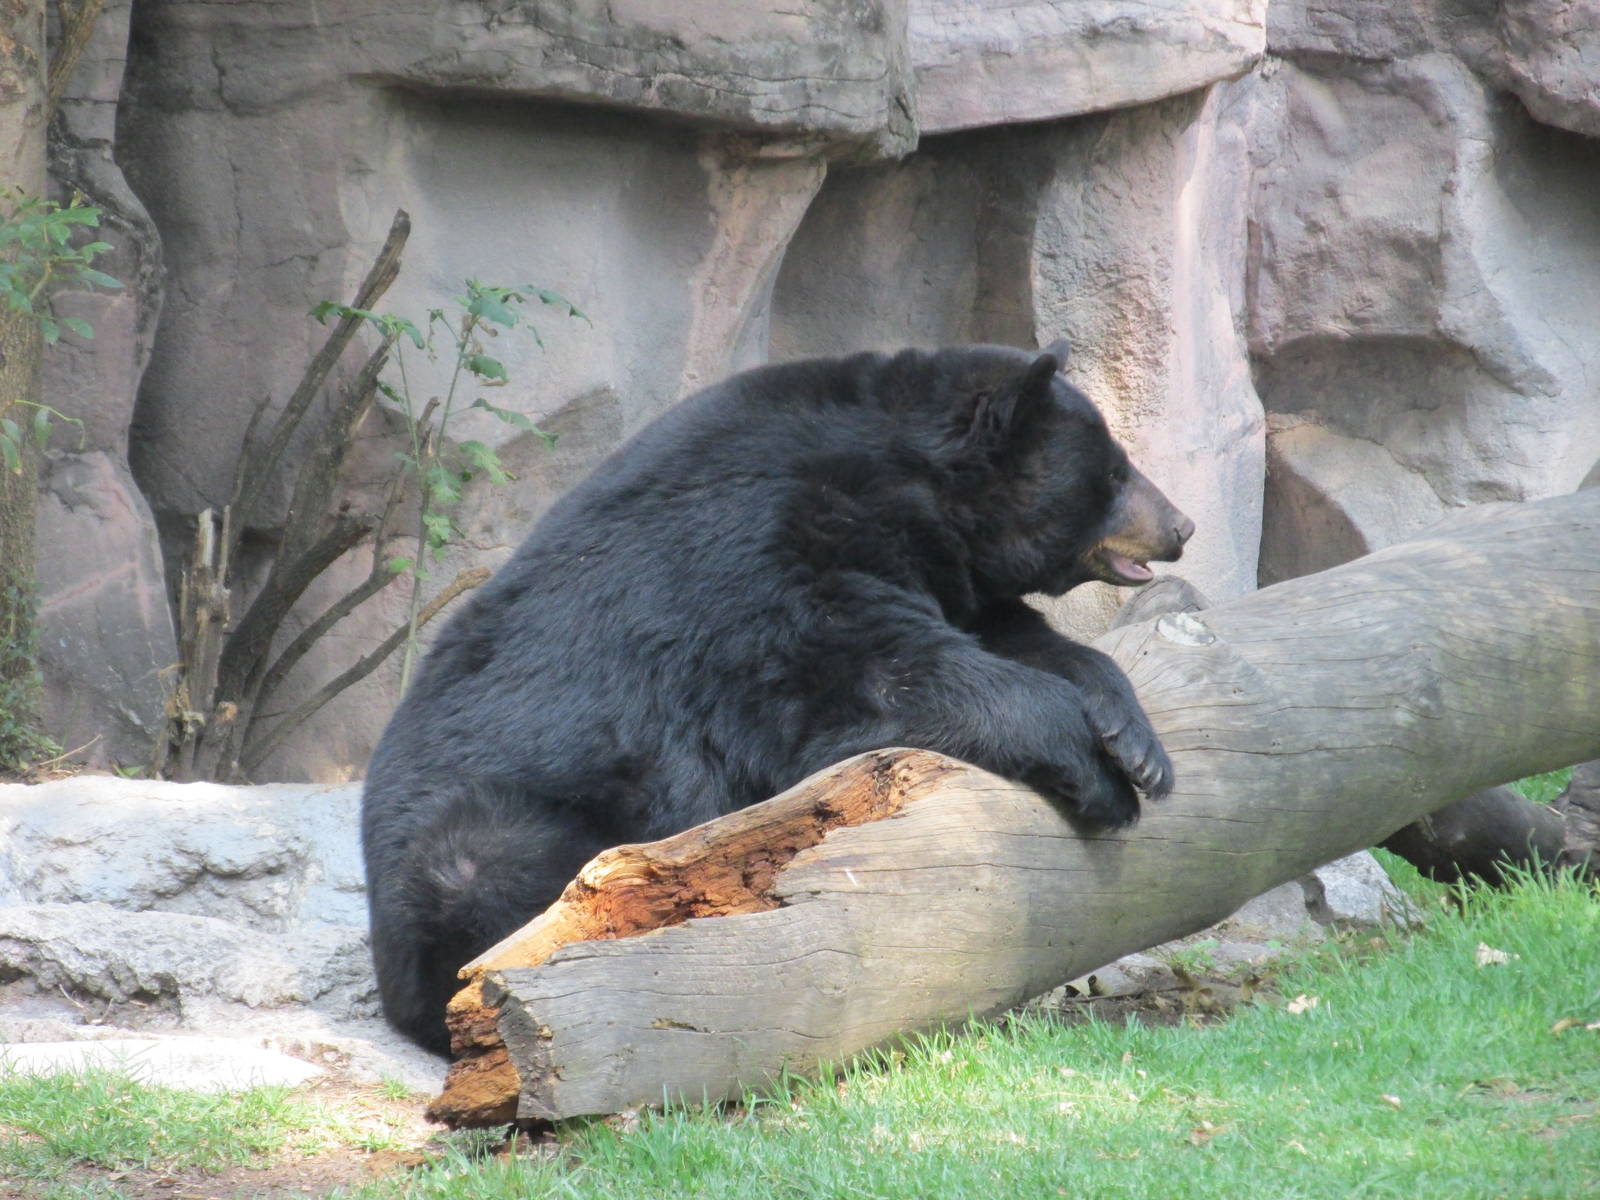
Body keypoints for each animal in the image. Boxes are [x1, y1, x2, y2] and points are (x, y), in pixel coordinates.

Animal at [360, 341, 1194, 1054]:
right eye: (1114, 473)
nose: (1182, 525)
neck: (908, 489)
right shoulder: (759, 554)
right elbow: (867, 683)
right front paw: (1094, 770)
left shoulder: (944, 573)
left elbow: (1018, 635)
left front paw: (1136, 744)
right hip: (493, 832)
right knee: (500, 880)